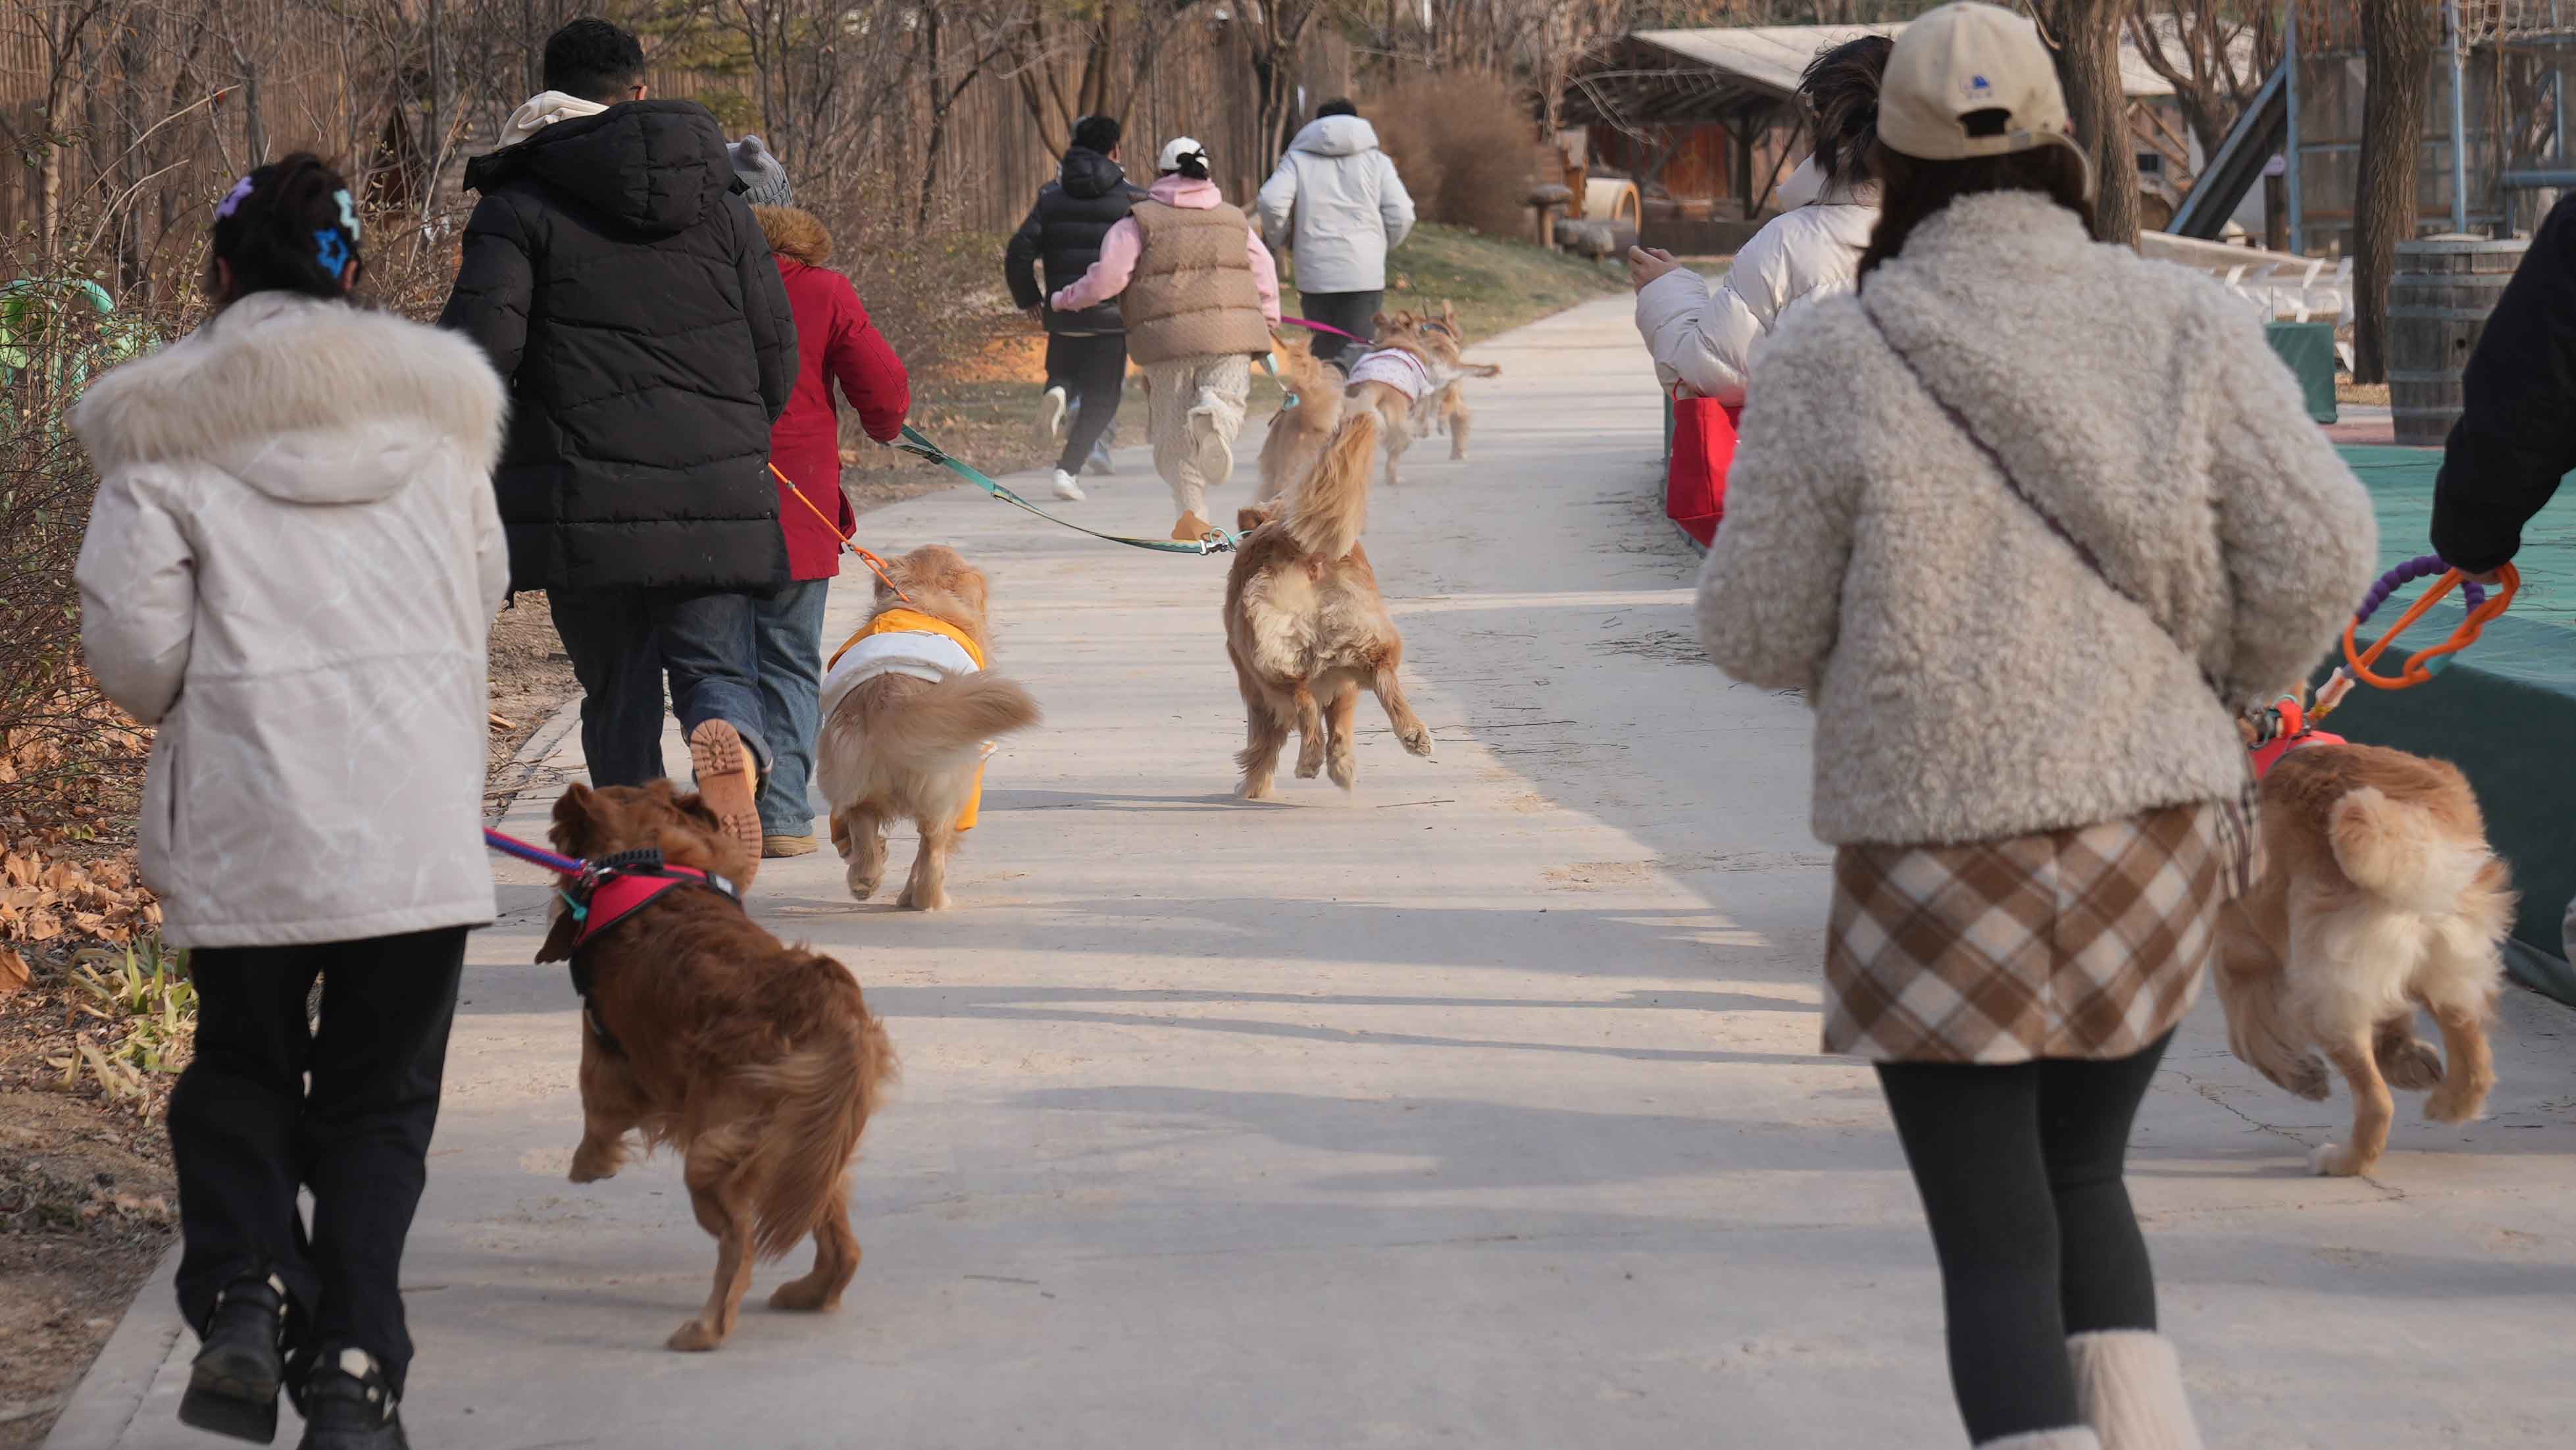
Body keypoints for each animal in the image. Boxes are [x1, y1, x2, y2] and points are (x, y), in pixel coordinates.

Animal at [536, 783, 896, 1349]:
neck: (647, 860)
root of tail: (819, 999)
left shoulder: (605, 1056)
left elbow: (597, 1115)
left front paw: (590, 1165)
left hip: (718, 1154)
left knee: (739, 1242)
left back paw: (707, 1328)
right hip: (809, 1152)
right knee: (840, 1244)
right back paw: (808, 1293)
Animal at [814, 546, 1035, 906]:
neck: (923, 594)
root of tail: (890, 699)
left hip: (849, 780)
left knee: (860, 825)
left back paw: (866, 878)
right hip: (957, 788)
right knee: (932, 849)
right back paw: (927, 899)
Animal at [2215, 737, 2514, 1179]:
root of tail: (2407, 827)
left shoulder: (2240, 956)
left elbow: (2245, 1039)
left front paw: (2303, 1076)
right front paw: (2408, 1059)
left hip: (2323, 991)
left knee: (2377, 1103)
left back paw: (2342, 1161)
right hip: (2446, 966)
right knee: (2476, 1060)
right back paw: (2450, 1104)